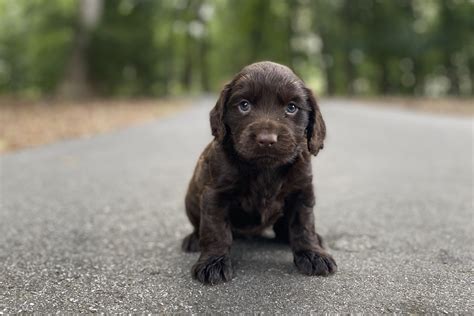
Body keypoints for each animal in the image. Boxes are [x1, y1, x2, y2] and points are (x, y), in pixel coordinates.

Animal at [182, 61, 336, 284]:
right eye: (244, 105)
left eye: (292, 107)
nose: (266, 140)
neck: (265, 169)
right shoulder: (215, 194)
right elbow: (215, 231)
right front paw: (213, 262)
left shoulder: (302, 192)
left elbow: (303, 225)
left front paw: (312, 254)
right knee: (199, 226)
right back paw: (193, 239)